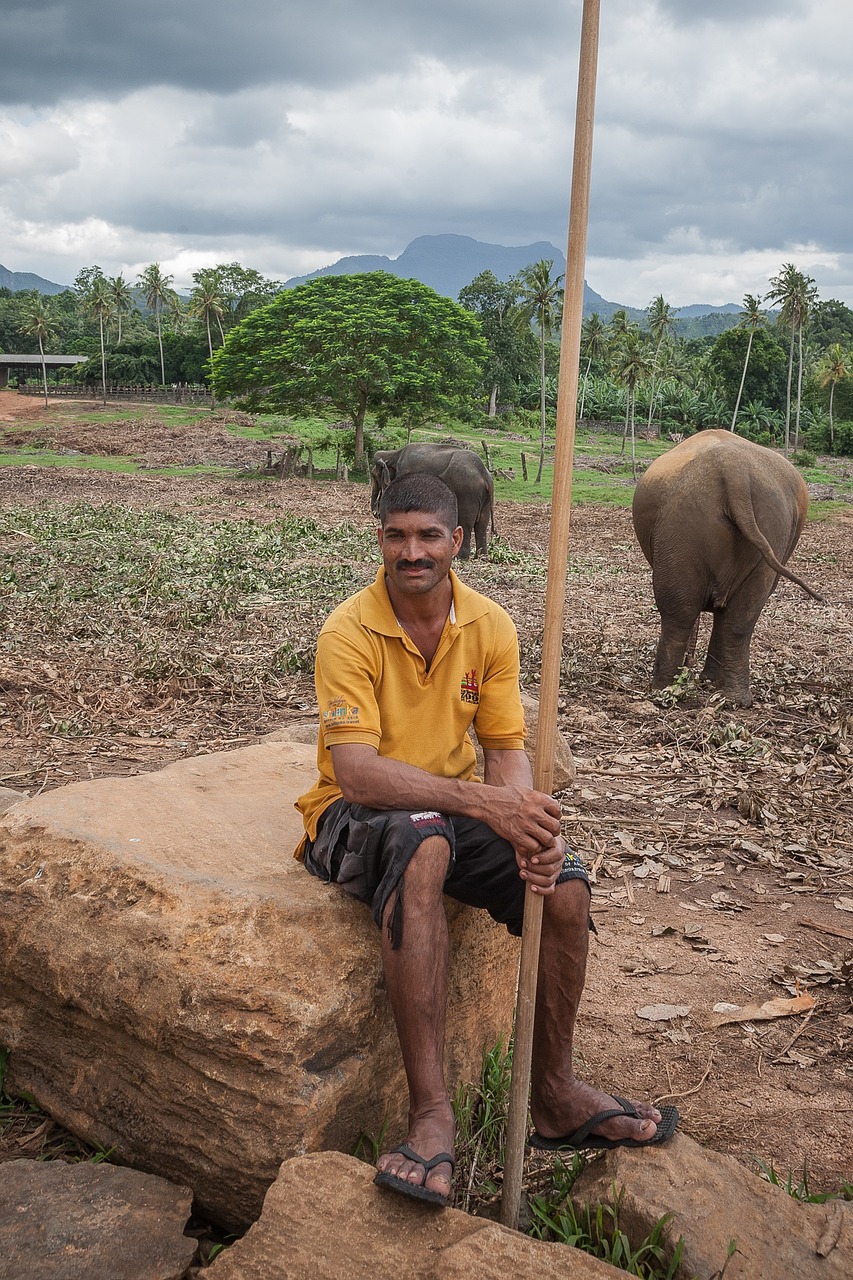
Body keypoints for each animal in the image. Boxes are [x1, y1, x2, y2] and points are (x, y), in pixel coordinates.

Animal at [627, 435, 819, 706]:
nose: (689, 663)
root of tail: (734, 472)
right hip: (759, 527)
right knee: (736, 615)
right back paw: (731, 699)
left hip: (683, 525)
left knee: (680, 610)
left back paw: (666, 690)